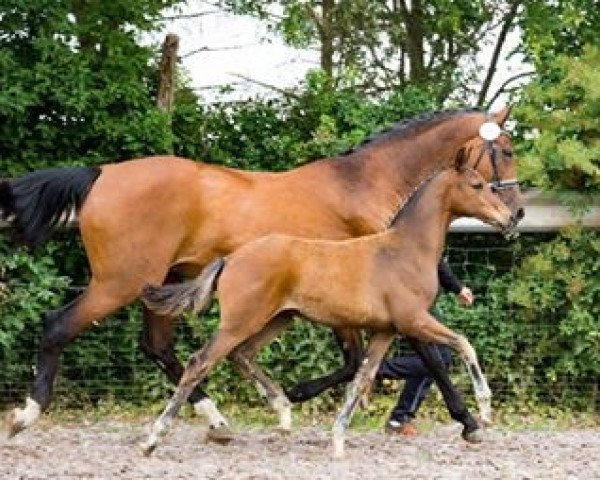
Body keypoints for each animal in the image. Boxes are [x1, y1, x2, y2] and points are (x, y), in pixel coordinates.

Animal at [139, 164, 510, 458]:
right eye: (477, 184)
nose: (510, 217)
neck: (403, 250)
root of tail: (230, 258)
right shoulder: (414, 320)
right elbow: (464, 343)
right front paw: (483, 412)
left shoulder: (386, 331)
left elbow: (361, 379)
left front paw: (337, 440)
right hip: (241, 322)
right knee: (199, 363)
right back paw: (154, 440)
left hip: (277, 319)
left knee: (241, 355)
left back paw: (283, 410)